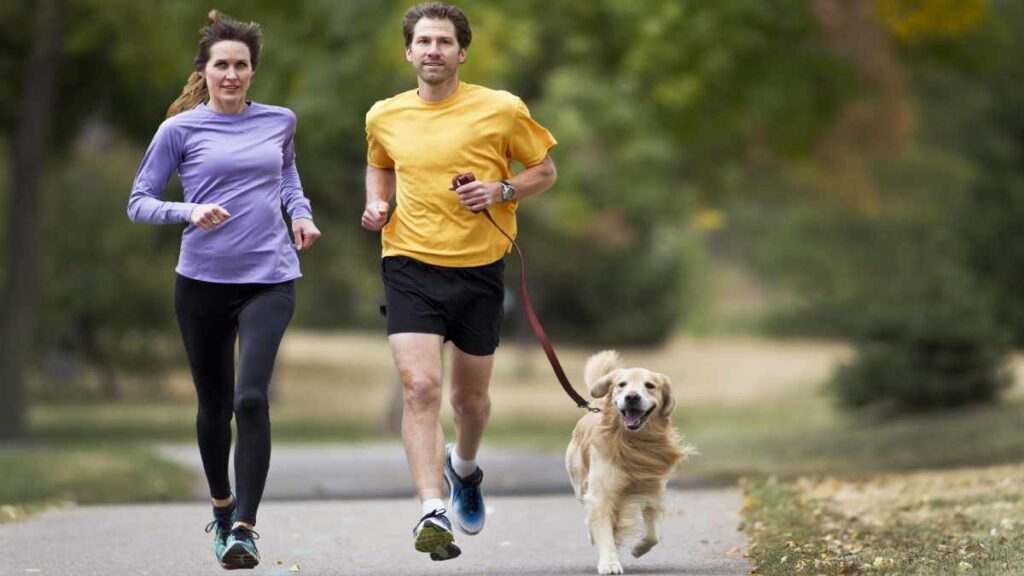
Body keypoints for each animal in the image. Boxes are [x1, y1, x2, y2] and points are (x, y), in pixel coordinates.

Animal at [565, 348, 692, 569]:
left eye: (650, 385)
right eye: (621, 384)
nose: (632, 397)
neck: (632, 443)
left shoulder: (651, 487)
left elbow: (652, 534)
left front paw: (639, 548)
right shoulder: (602, 491)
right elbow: (602, 525)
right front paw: (609, 563)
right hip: (580, 481)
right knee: (587, 509)